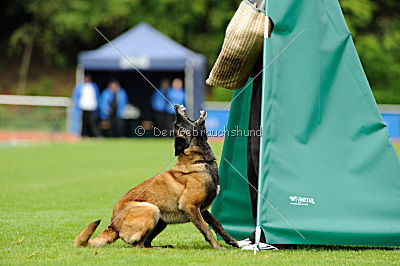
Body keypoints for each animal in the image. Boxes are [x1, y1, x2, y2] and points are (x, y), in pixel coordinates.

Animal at [73, 104, 238, 249]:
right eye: (177, 125)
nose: (175, 107)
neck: (199, 162)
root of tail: (113, 225)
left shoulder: (202, 210)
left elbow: (218, 225)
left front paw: (234, 242)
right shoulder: (190, 206)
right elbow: (206, 229)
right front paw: (217, 247)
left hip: (161, 220)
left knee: (146, 242)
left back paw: (164, 247)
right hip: (152, 210)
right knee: (139, 245)